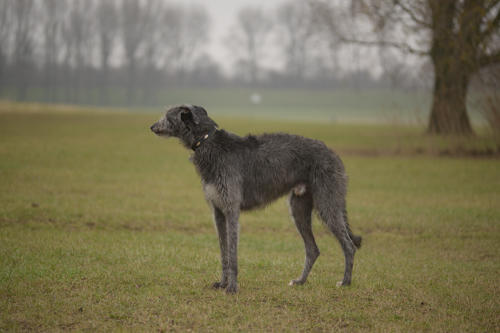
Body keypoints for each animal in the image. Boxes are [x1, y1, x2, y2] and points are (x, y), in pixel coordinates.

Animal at [150, 104, 362, 294]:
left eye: (167, 116)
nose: (152, 126)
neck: (208, 142)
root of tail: (334, 154)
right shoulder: (218, 211)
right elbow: (223, 252)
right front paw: (222, 283)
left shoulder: (231, 209)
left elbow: (232, 253)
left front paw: (232, 287)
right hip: (299, 208)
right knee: (313, 249)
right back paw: (300, 281)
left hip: (328, 203)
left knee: (349, 245)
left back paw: (345, 282)